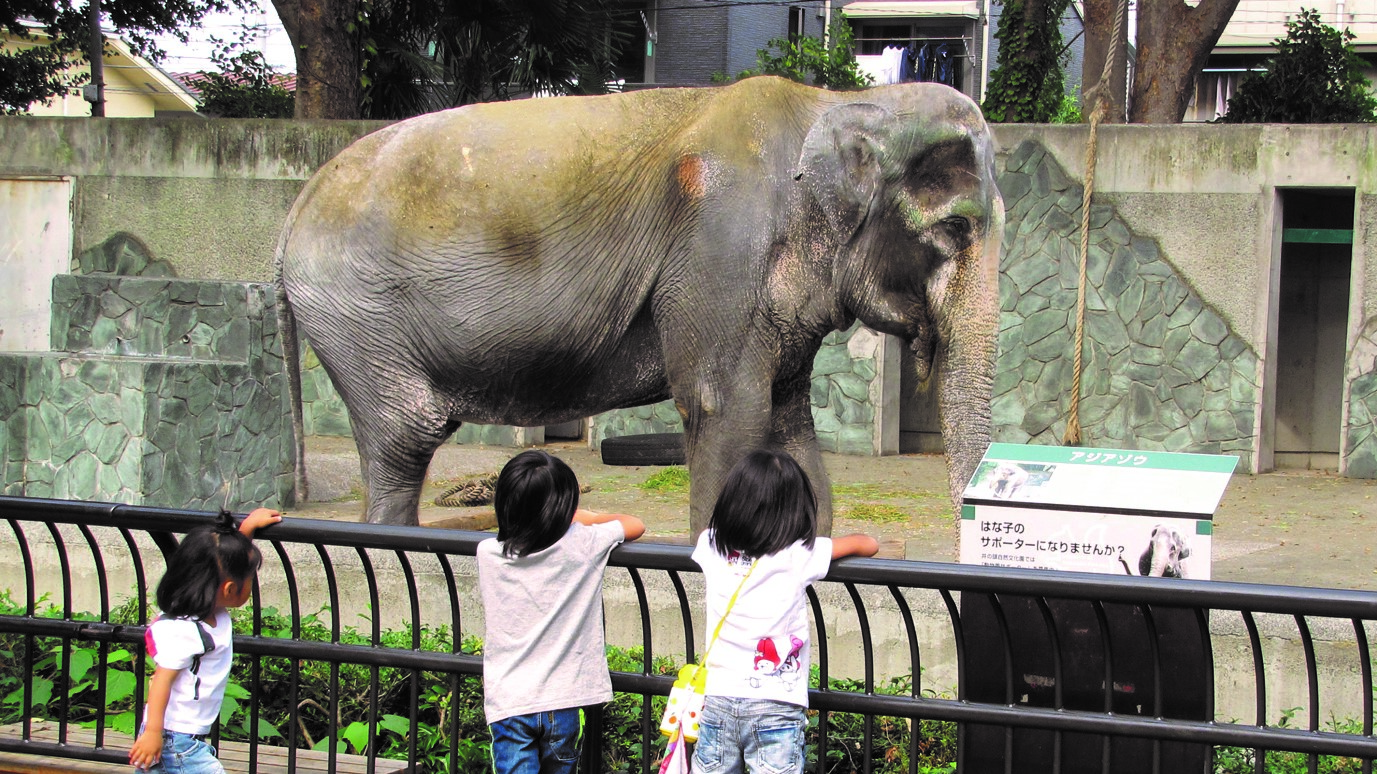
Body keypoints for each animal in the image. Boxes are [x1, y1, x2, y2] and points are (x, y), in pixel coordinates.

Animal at [276, 75, 1002, 528]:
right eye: (954, 228)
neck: (842, 102)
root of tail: (289, 221)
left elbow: (789, 428)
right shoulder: (721, 249)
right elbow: (723, 410)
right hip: (360, 319)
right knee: (404, 441)